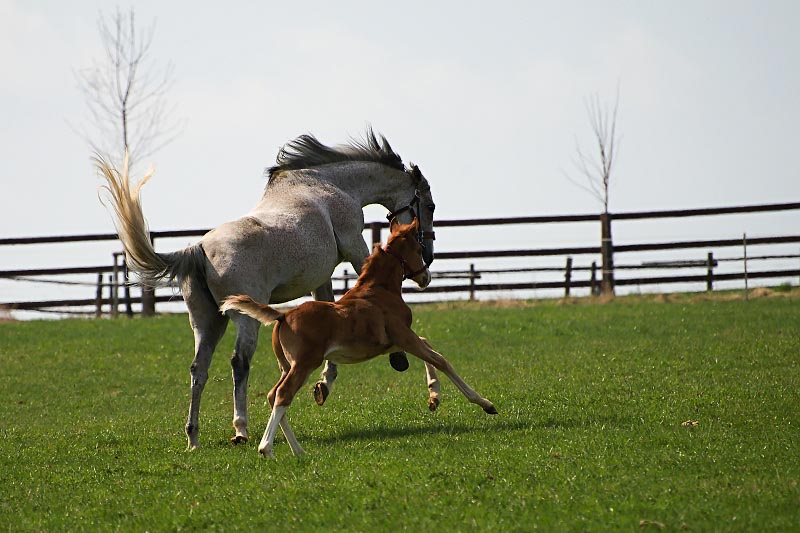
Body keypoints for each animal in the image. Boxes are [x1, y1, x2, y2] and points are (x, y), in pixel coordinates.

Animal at [99, 130, 438, 448]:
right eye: (430, 205)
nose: (429, 255)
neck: (331, 185)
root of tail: (199, 249)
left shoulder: (321, 278)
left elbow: (332, 311)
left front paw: (324, 384)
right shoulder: (356, 248)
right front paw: (398, 357)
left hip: (207, 322)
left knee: (199, 368)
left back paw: (193, 436)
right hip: (244, 320)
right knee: (239, 363)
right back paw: (241, 429)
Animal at [219, 218, 494, 456]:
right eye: (418, 248)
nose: (426, 277)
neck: (380, 291)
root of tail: (282, 315)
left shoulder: (396, 341)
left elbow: (429, 348)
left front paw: (434, 397)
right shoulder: (404, 336)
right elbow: (440, 359)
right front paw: (484, 403)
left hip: (287, 365)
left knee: (272, 394)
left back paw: (298, 451)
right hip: (305, 363)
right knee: (283, 394)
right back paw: (267, 449)